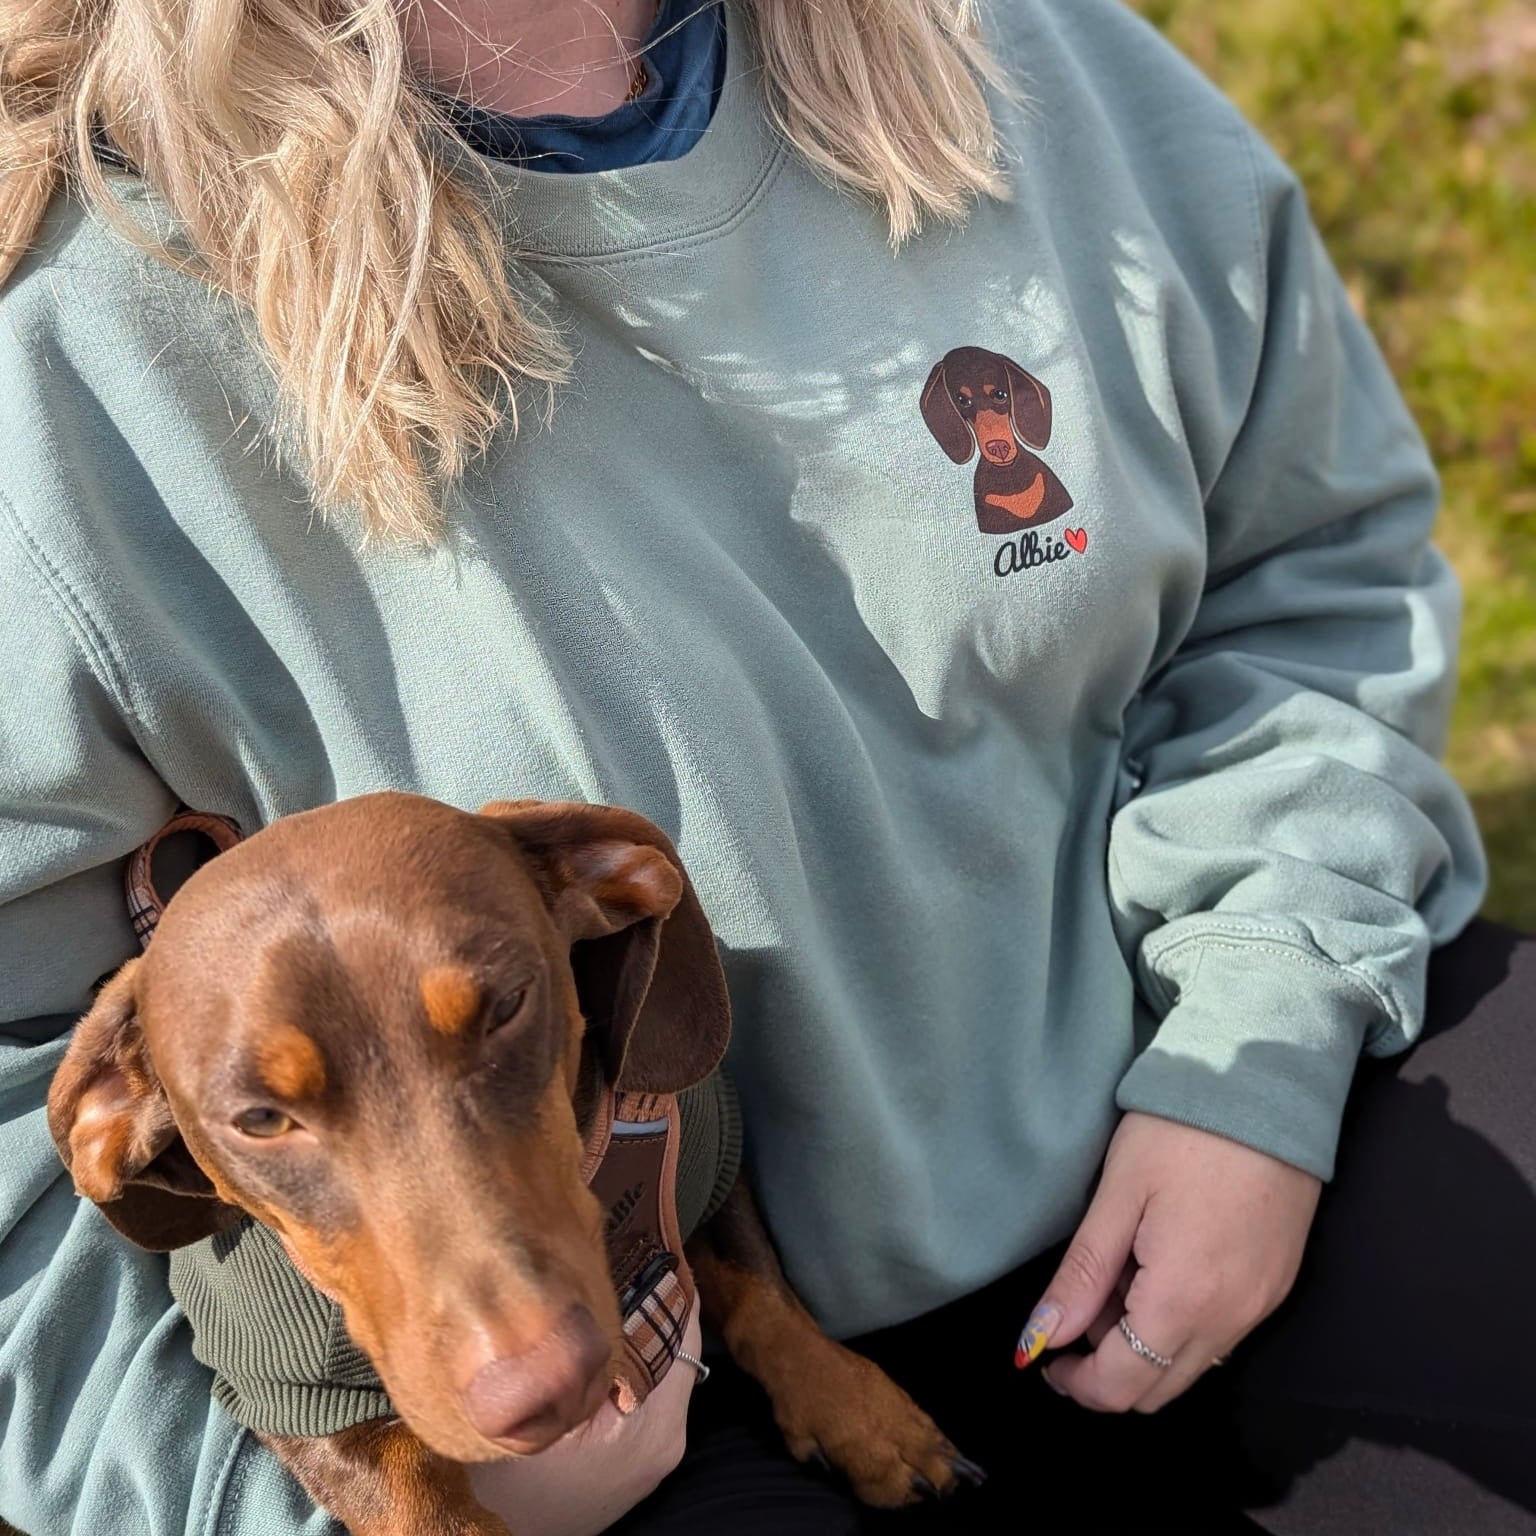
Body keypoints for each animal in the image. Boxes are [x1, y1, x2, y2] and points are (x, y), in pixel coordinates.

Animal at [51, 798, 983, 1529]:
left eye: (508, 1005)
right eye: (258, 1120)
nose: (550, 1391)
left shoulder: (711, 1147)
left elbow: (763, 1290)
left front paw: (865, 1418)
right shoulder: (285, 1393)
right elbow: (413, 1505)